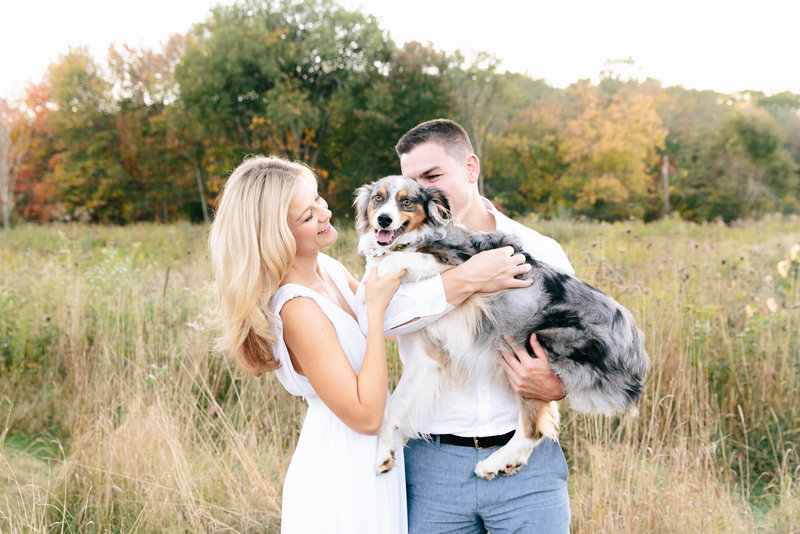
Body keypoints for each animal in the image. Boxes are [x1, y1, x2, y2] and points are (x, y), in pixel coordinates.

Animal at [356, 176, 648, 482]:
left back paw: (493, 463)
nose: (383, 219)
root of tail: (635, 347)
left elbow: (404, 260)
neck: (417, 238)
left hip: (534, 348)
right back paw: (505, 463)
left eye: (407, 201)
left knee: (533, 428)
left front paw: (370, 283)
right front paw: (384, 453)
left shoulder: (461, 258)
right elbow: (393, 408)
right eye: (378, 198)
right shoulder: (426, 360)